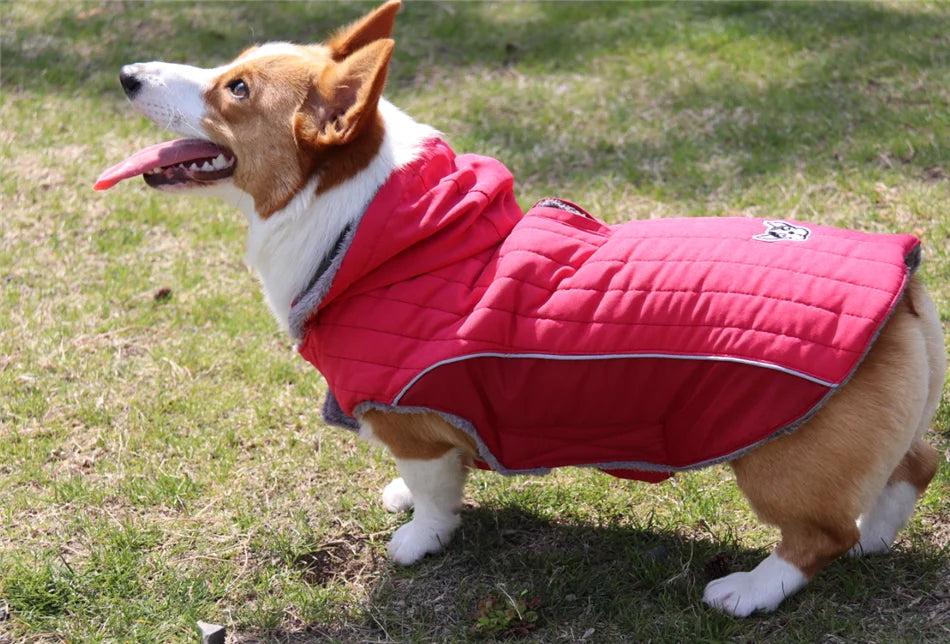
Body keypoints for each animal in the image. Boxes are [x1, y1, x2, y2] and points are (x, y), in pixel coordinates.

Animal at [95, 0, 944, 616]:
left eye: (235, 89)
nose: (126, 74)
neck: (364, 225)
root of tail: (903, 275)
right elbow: (431, 477)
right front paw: (402, 499)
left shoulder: (413, 416)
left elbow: (436, 493)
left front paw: (417, 538)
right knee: (913, 467)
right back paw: (877, 538)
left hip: (779, 460)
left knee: (817, 534)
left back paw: (750, 590)